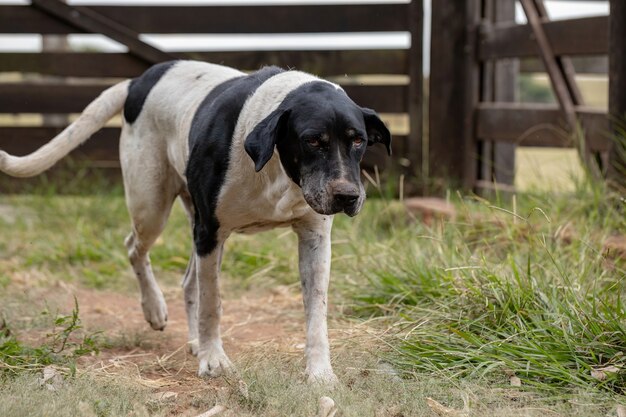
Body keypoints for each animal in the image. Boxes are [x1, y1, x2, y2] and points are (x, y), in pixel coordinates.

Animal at [0, 60, 388, 382]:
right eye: (312, 141)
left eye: (359, 141)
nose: (348, 196)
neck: (274, 167)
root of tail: (141, 80)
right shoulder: (210, 232)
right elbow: (211, 304)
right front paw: (213, 360)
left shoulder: (313, 238)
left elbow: (315, 313)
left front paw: (320, 372)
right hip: (153, 206)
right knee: (135, 248)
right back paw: (155, 309)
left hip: (191, 222)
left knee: (188, 281)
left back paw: (192, 339)